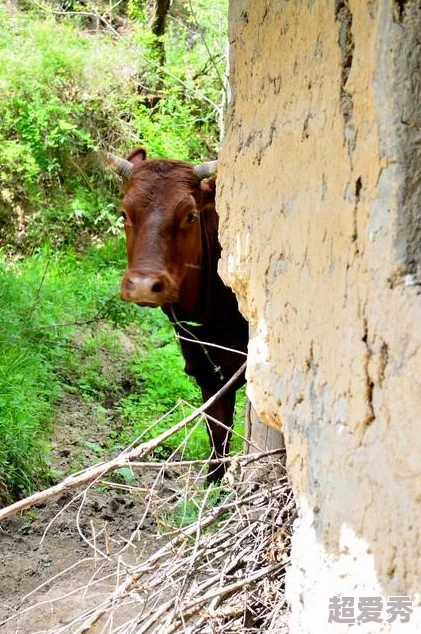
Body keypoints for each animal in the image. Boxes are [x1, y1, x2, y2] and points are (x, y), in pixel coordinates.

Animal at [106, 149, 249, 484]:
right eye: (124, 214)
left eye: (190, 215)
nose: (144, 285)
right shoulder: (205, 369)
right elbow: (217, 429)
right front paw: (214, 482)